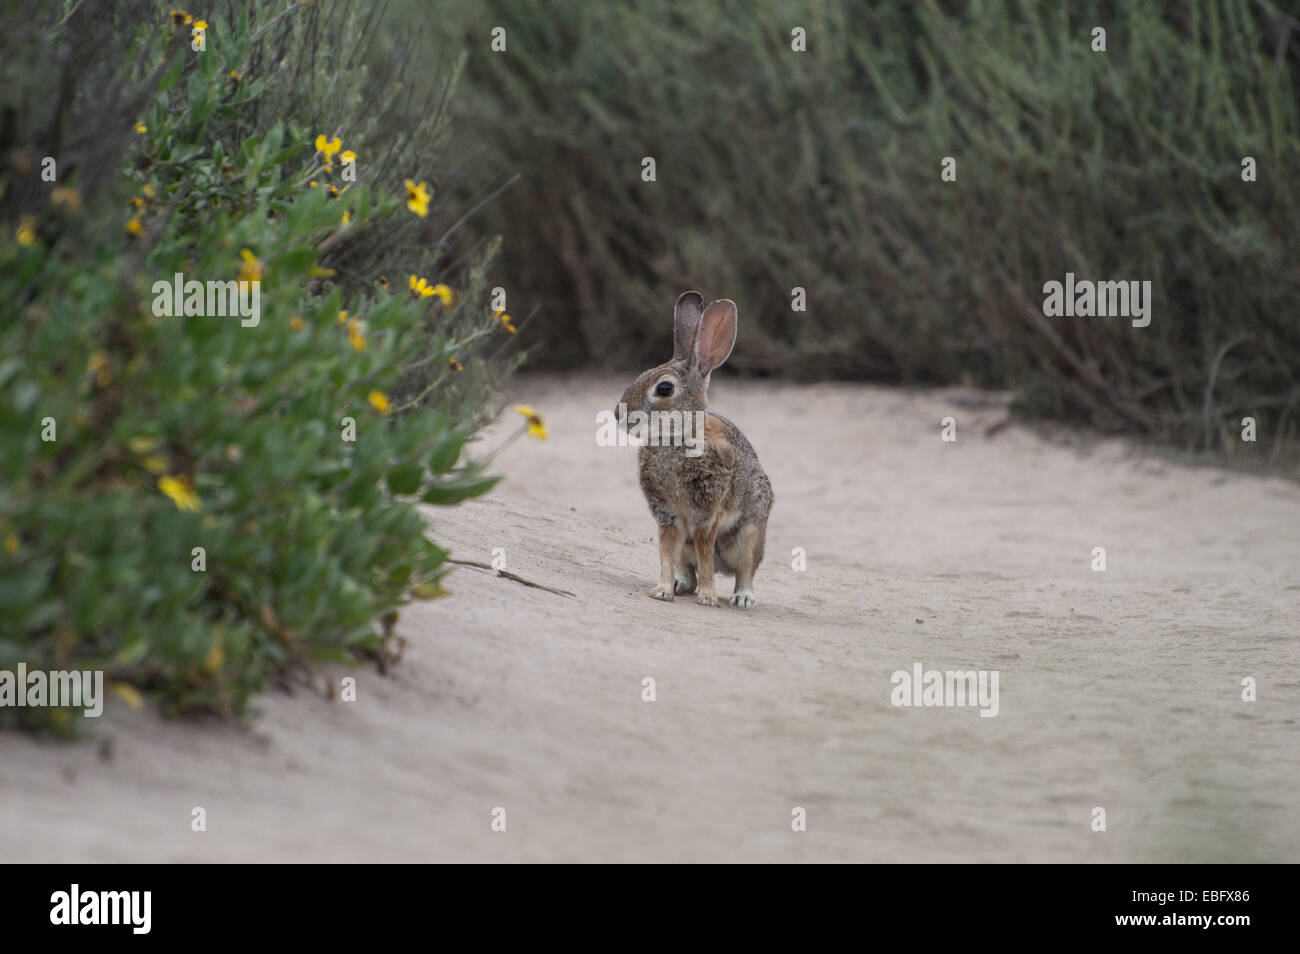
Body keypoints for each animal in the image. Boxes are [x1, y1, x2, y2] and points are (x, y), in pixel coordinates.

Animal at [617, 291, 774, 608]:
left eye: (664, 389)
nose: (618, 414)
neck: (676, 439)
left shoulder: (707, 516)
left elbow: (706, 554)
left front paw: (708, 597)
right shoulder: (668, 517)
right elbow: (666, 553)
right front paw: (662, 591)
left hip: (749, 535)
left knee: (745, 570)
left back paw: (742, 598)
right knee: (687, 567)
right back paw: (680, 585)